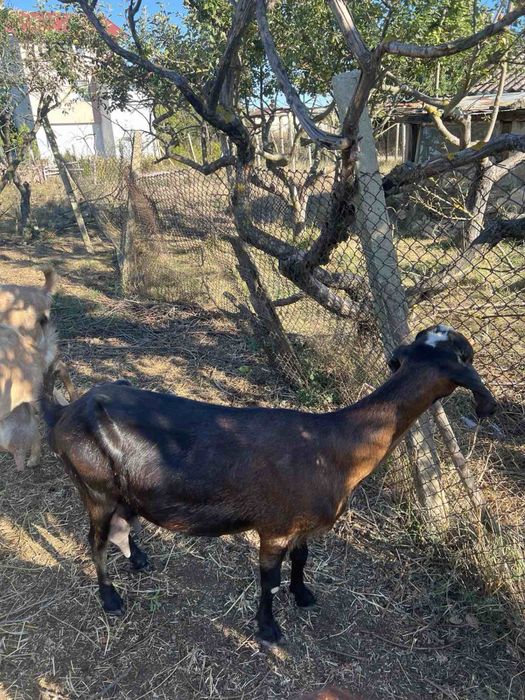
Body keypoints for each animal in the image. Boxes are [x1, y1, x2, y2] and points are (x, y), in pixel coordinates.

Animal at [42, 325, 496, 643]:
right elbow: (269, 580)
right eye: (465, 356)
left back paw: (138, 559)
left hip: (122, 489)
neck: (334, 443)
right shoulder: (275, 527)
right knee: (95, 540)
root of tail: (63, 413)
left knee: (123, 523)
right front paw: (268, 629)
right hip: (95, 488)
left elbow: (303, 559)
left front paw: (304, 595)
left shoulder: (304, 525)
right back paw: (110, 598)